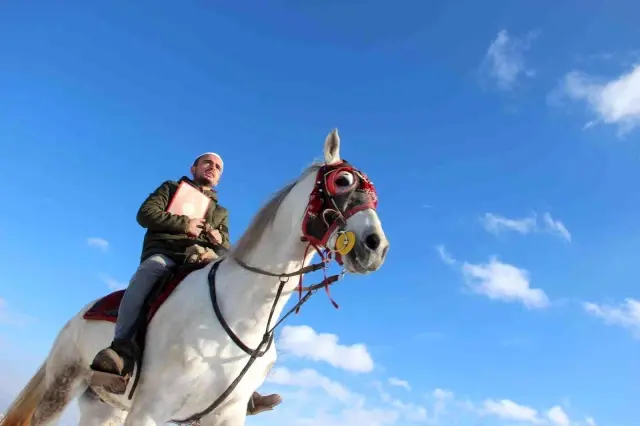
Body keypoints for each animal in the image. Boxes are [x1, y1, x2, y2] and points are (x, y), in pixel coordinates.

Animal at [0, 130, 390, 426]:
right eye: (342, 180)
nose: (376, 247)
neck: (239, 312)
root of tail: (77, 316)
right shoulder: (149, 410)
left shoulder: (224, 417)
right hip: (61, 389)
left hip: (102, 408)